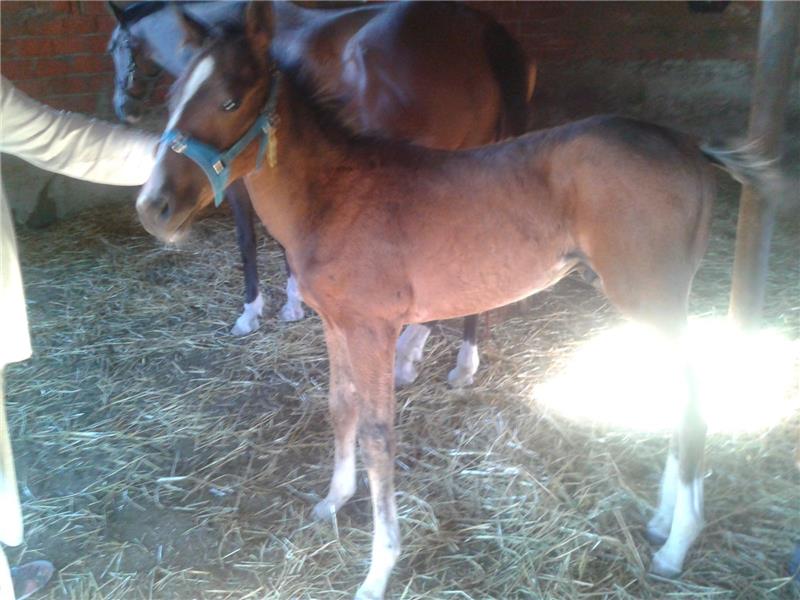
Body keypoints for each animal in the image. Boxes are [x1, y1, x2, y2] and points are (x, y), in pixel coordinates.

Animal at [109, 1, 536, 390]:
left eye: (116, 48)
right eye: (173, 97)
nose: (123, 107)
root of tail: (481, 29)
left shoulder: (238, 182)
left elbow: (248, 241)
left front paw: (252, 312)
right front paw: (294, 303)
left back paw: (413, 353)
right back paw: (459, 359)